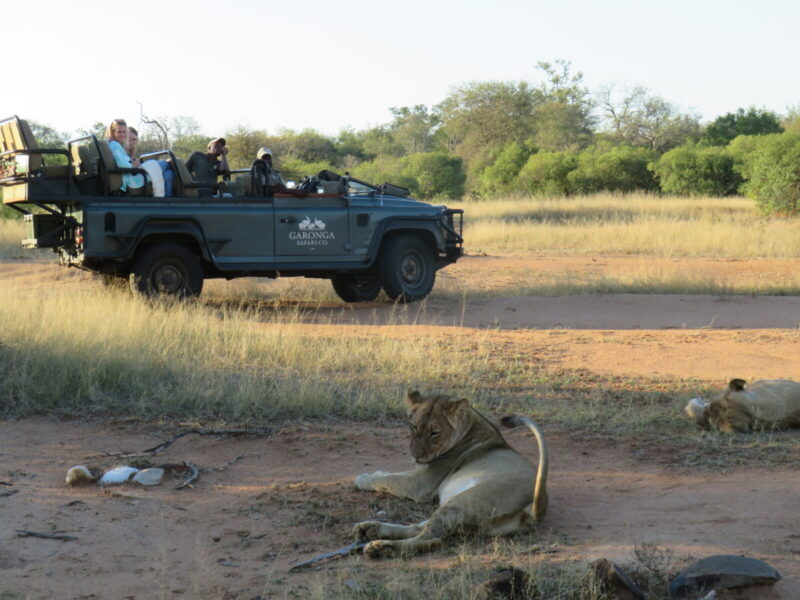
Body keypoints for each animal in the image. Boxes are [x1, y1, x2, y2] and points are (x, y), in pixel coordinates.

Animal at [352, 391, 549, 558]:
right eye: (413, 427)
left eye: (435, 432)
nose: (416, 456)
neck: (472, 424)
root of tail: (537, 508)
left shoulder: (420, 484)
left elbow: (389, 478)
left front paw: (363, 478)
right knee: (421, 528)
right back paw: (370, 529)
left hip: (463, 502)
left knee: (432, 540)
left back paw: (382, 547)